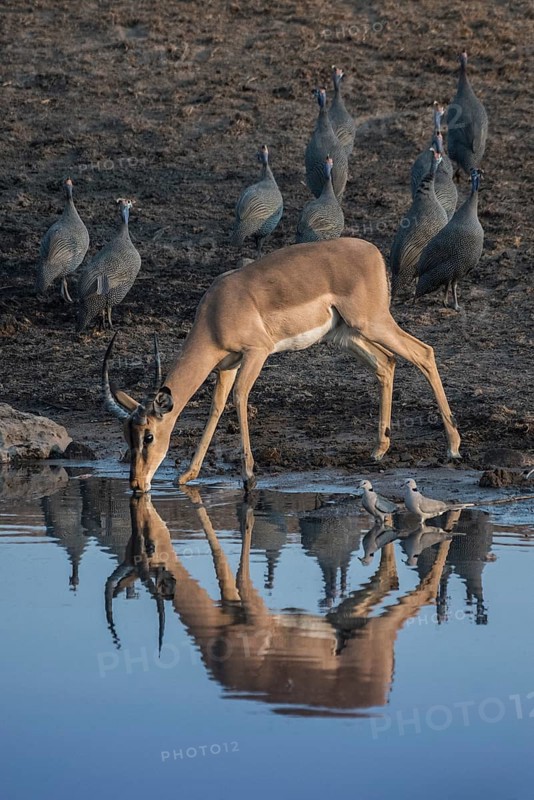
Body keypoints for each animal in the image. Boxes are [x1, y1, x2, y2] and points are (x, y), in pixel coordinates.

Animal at [102, 238, 461, 493]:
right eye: (126, 435)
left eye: (149, 436)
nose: (137, 484)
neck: (217, 311)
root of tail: (373, 252)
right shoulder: (226, 365)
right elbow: (216, 406)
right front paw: (188, 475)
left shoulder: (256, 353)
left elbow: (240, 397)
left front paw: (249, 475)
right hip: (346, 335)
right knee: (387, 363)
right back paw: (379, 451)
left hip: (372, 323)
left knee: (423, 353)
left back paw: (454, 447)